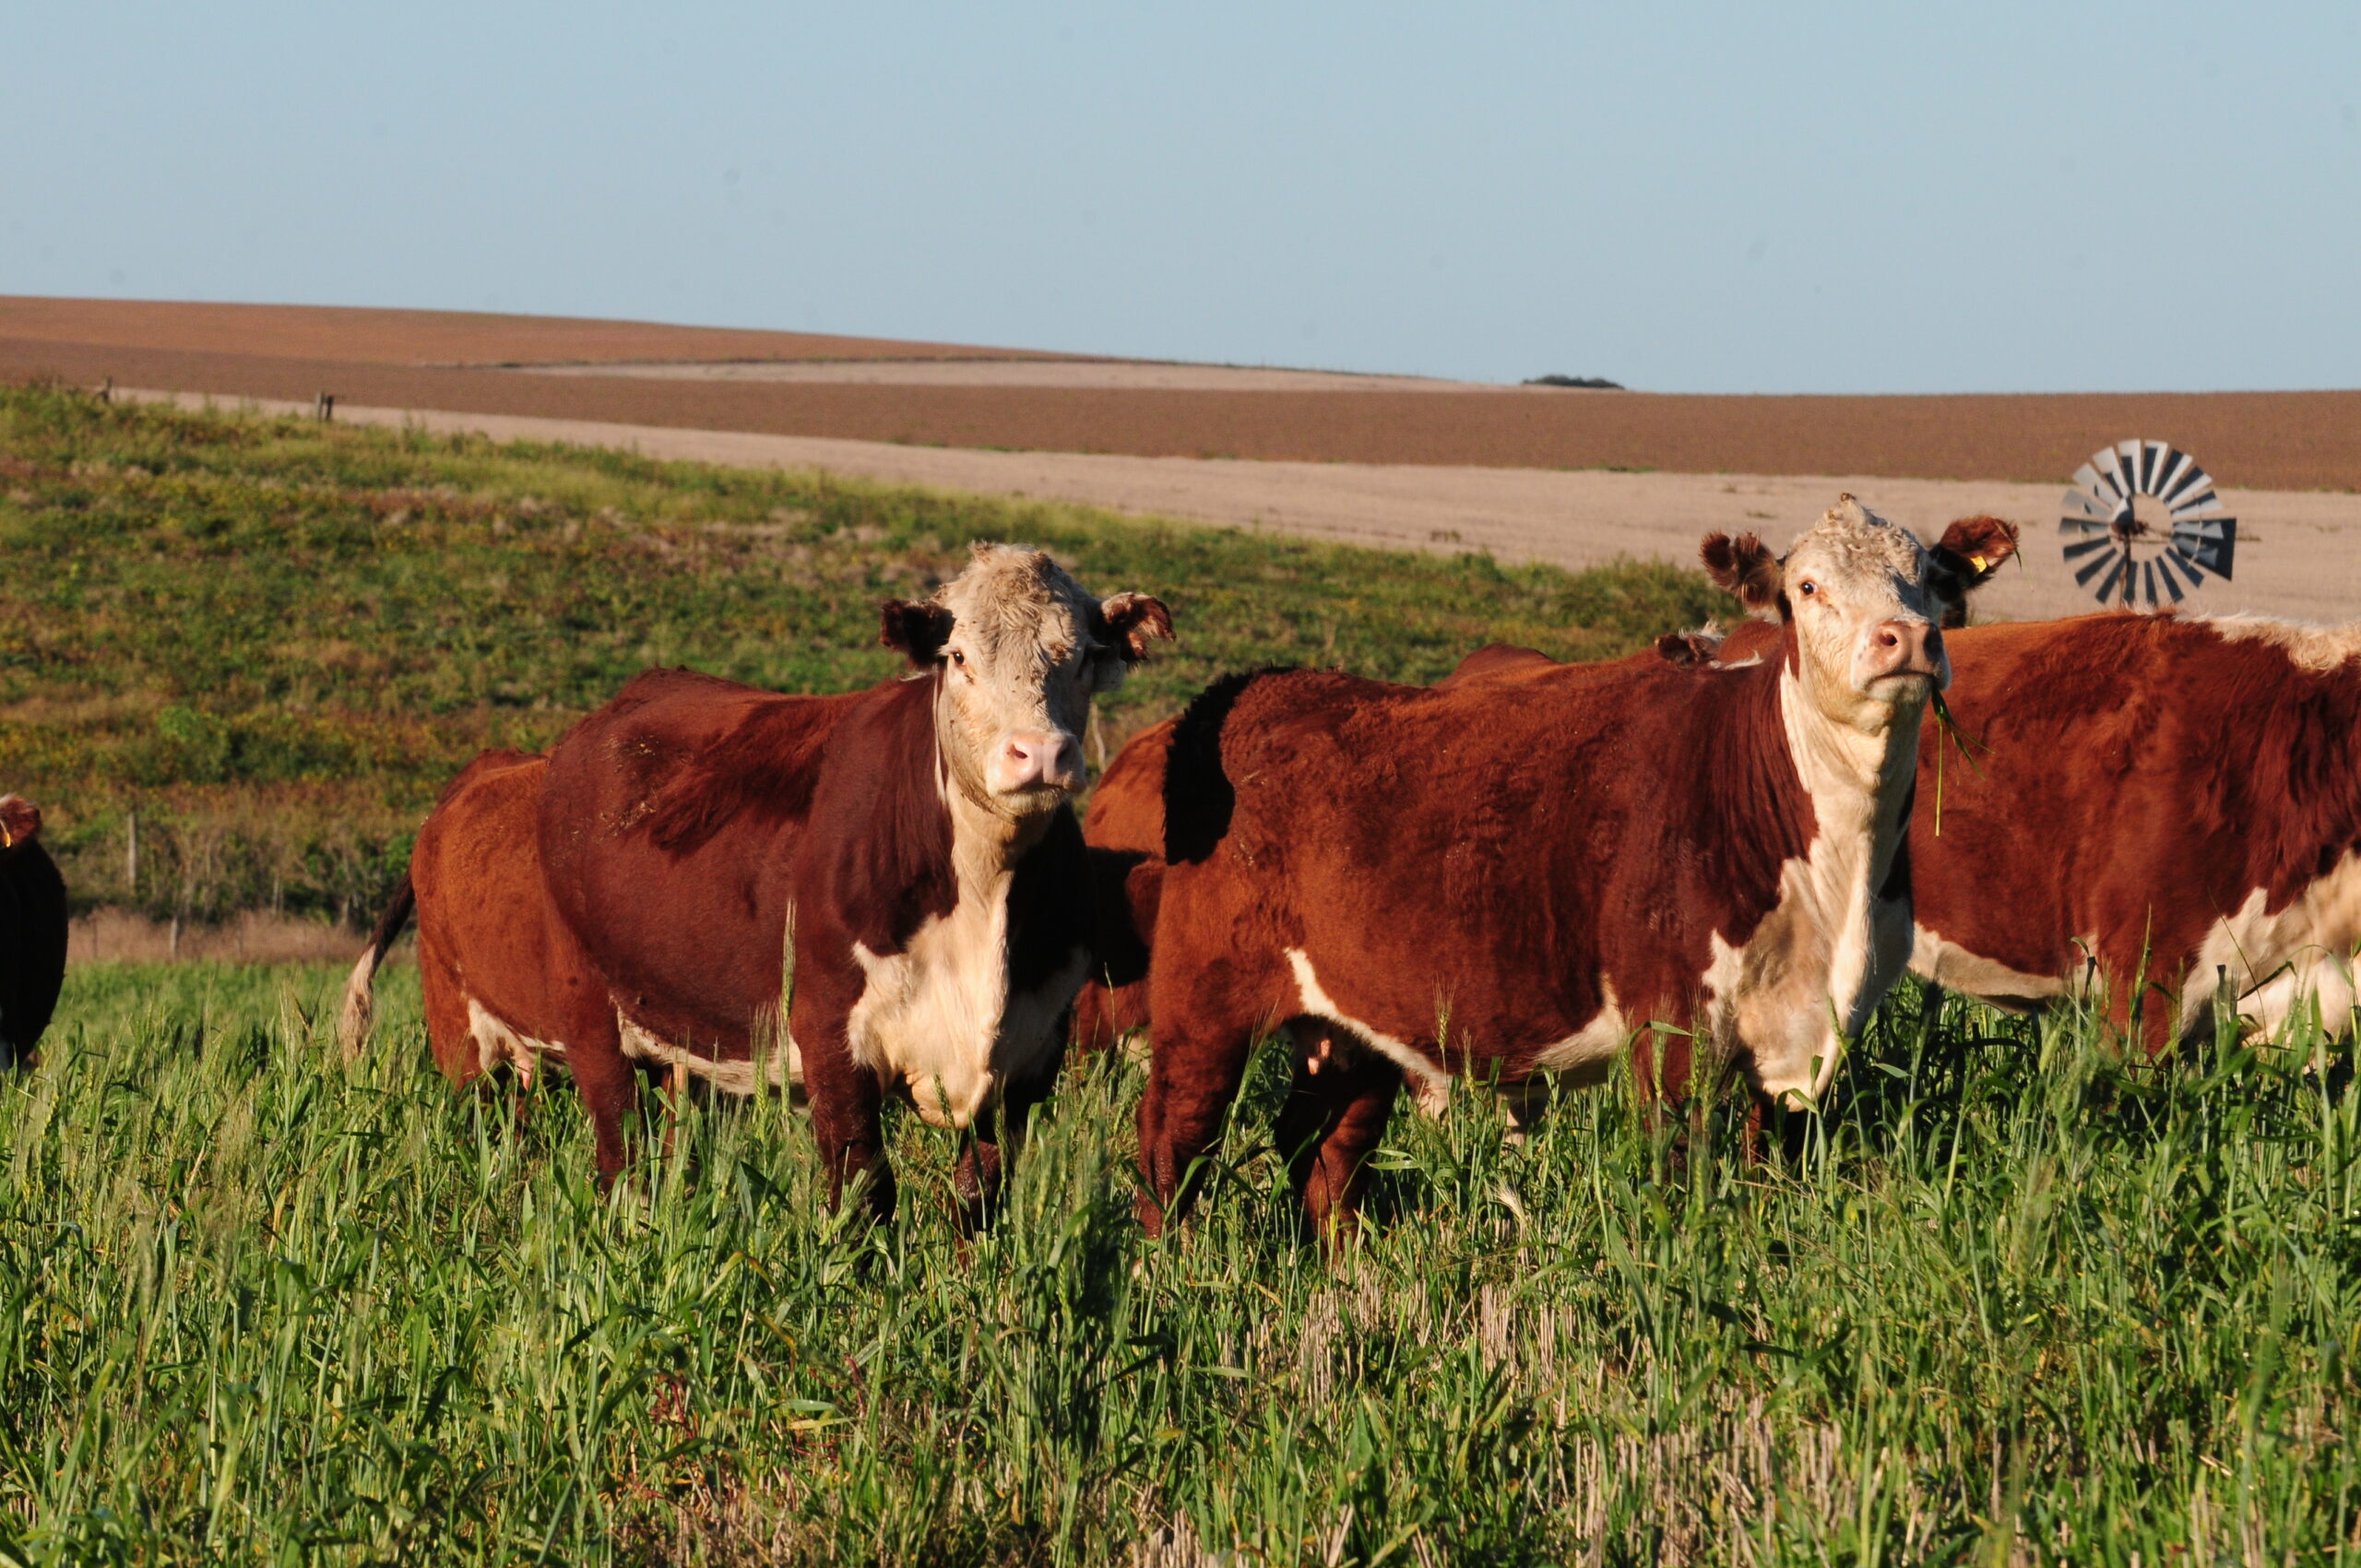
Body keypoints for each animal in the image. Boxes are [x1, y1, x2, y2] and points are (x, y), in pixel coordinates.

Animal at [339, 545, 1170, 1218]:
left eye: (1081, 657)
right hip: (537, 1027)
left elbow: (979, 1204)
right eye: (959, 656)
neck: (982, 897)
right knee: (610, 1155)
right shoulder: (835, 1041)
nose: (1040, 753)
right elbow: (865, 1198)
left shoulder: (1029, 1059)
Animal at [1133, 498, 1983, 1237]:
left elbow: (1762, 1168)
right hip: (1204, 1000)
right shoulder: (1672, 1020)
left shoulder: (1799, 1045)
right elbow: (1680, 1166)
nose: (1906, 639)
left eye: (1931, 581)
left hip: (1350, 1022)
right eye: (1808, 587)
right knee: (1173, 1139)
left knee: (1325, 1151)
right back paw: (1168, 1271)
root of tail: (1254, 689)